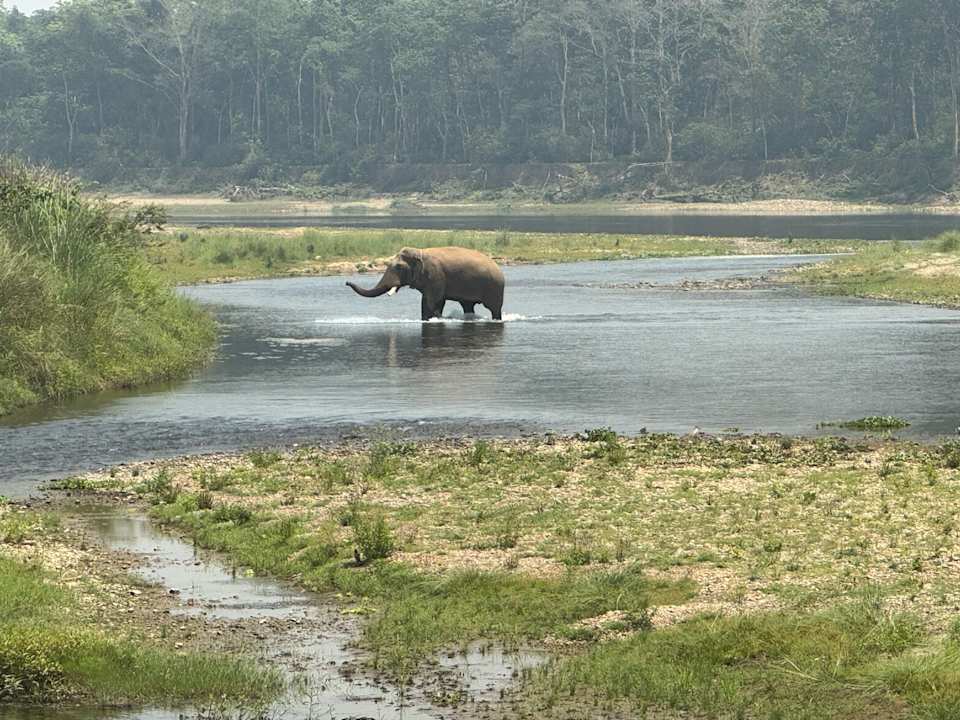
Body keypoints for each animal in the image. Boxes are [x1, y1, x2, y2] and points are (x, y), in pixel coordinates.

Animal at [346, 246, 505, 320]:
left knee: (494, 308)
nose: (347, 282)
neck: (420, 252)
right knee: (467, 305)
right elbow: (427, 301)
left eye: (399, 267)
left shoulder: (436, 275)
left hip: (495, 287)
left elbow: (434, 300)